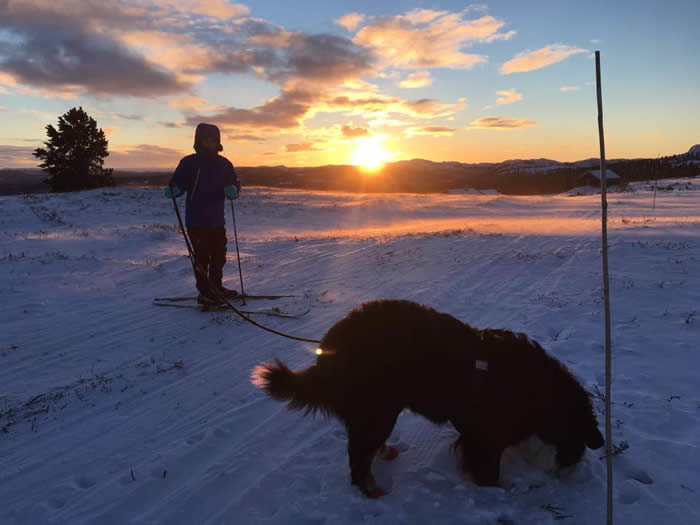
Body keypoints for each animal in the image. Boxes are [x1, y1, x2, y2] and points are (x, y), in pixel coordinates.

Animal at [254, 298, 604, 496]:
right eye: (576, 446)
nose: (570, 474)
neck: (538, 393)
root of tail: (329, 345)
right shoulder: (486, 437)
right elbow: (488, 473)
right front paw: (499, 491)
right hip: (378, 409)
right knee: (357, 456)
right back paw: (370, 488)